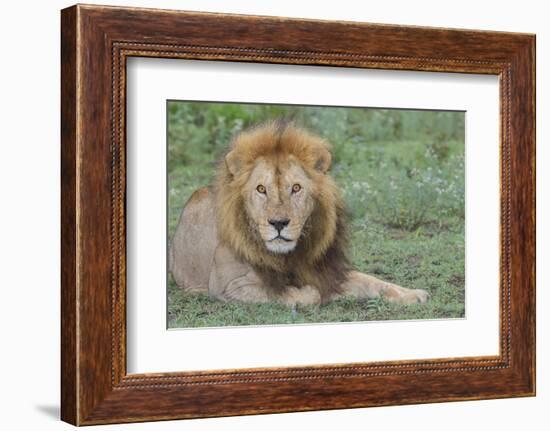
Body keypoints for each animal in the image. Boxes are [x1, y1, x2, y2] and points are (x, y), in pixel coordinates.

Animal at [169, 120, 432, 306]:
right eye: (261, 189)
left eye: (296, 188)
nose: (278, 223)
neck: (289, 255)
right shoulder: (229, 286)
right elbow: (303, 295)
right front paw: (315, 292)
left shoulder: (327, 271)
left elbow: (372, 281)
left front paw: (413, 294)